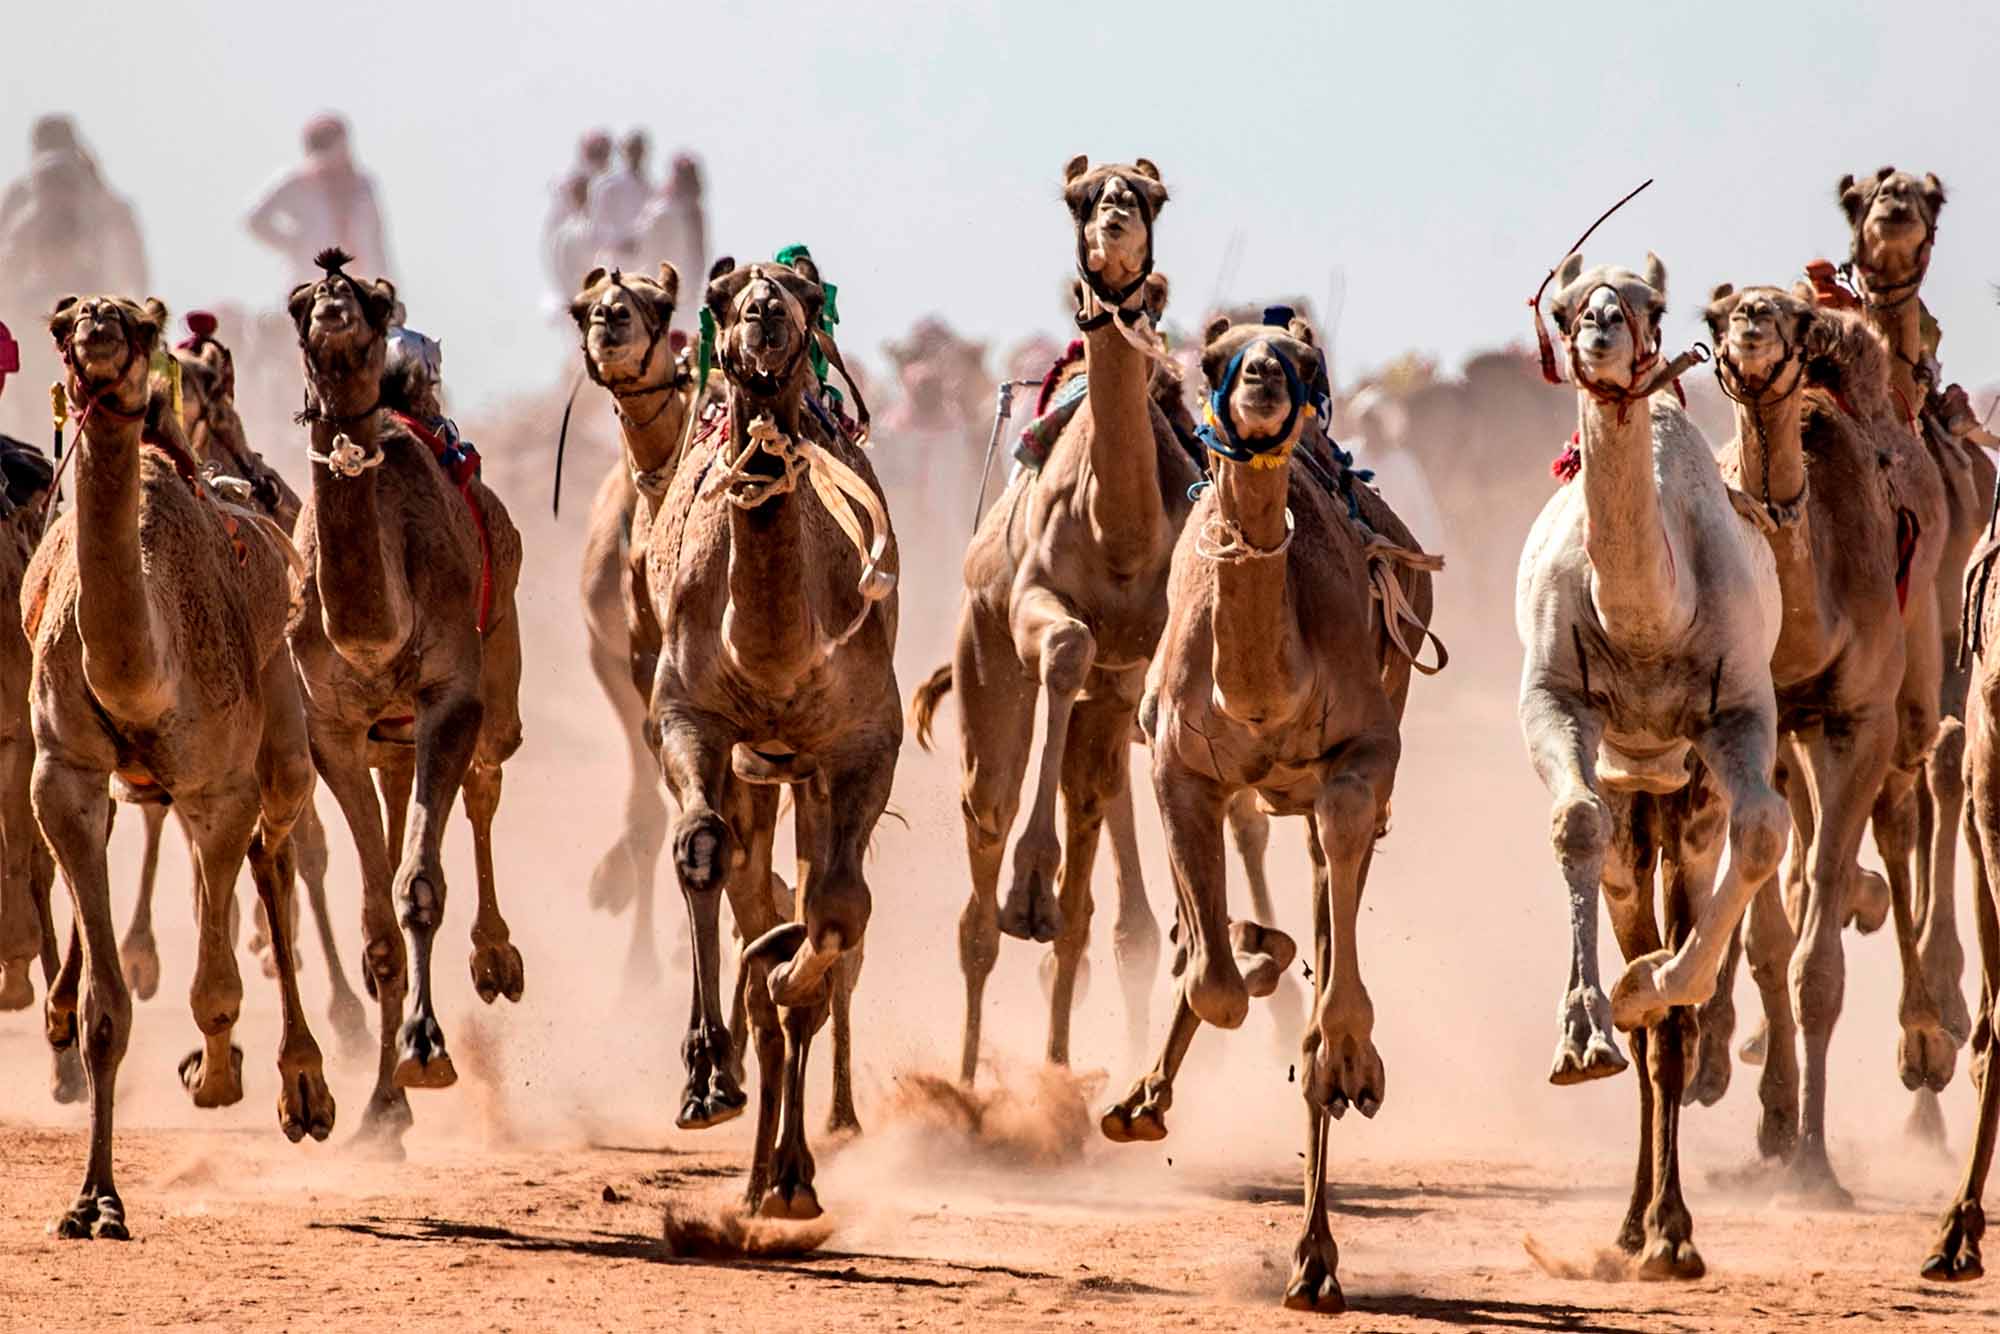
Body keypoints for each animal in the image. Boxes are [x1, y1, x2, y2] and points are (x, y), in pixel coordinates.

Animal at [28, 298, 332, 1240]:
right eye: (65, 326)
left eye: (131, 322)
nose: (97, 332)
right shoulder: (63, 775)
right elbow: (108, 1011)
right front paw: (93, 1203)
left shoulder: (219, 783)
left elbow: (217, 985)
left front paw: (219, 1076)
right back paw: (60, 1004)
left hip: (280, 733)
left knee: (276, 857)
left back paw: (304, 1088)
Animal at [290, 250, 528, 1152]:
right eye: (299, 306)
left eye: (372, 299)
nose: (332, 300)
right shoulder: (330, 726)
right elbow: (376, 920)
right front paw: (382, 1107)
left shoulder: (450, 694)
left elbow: (419, 885)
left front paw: (428, 1052)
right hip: (387, 737)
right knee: (399, 813)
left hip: (499, 667)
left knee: (488, 778)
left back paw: (496, 960)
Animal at [640, 256, 900, 1216]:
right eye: (721, 298)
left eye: (800, 289)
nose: (763, 316)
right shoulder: (685, 714)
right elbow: (698, 851)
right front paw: (706, 1078)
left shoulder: (865, 741)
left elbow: (837, 912)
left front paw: (788, 968)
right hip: (753, 775)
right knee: (739, 871)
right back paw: (758, 1169)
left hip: (802, 777)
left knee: (811, 911)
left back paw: (788, 1179)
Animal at [912, 157, 1192, 1088]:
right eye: (1079, 198)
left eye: (1151, 196)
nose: (1115, 223)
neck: (1119, 532)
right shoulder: (1039, 603)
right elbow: (1067, 645)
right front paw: (1027, 885)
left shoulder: (1141, 658)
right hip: (982, 653)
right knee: (984, 824)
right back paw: (966, 1082)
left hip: (1103, 716)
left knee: (1088, 827)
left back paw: (1058, 1070)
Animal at [1096, 310, 1440, 1312]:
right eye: (1213, 359)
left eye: (1308, 362)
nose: (1261, 382)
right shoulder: (1176, 764)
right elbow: (1211, 984)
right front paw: (1245, 960)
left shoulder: (1361, 760)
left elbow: (1323, 1008)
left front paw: (1350, 1057)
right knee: (1210, 950)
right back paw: (1144, 1100)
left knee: (1323, 913)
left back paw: (1316, 1259)